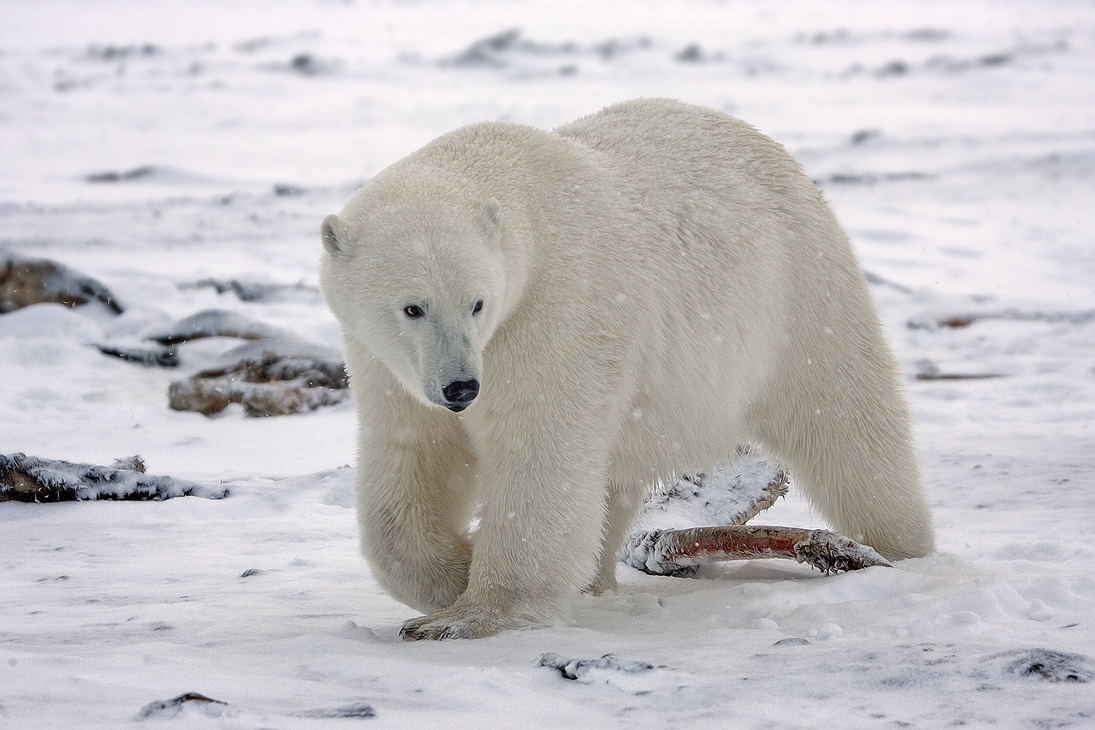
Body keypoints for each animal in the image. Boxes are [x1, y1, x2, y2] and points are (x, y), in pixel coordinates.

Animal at [319, 98, 932, 639]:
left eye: (477, 302)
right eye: (412, 307)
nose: (461, 387)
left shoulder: (558, 313)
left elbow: (541, 454)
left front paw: (470, 612)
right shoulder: (386, 365)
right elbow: (412, 457)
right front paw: (453, 575)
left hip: (798, 295)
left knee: (848, 423)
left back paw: (897, 549)